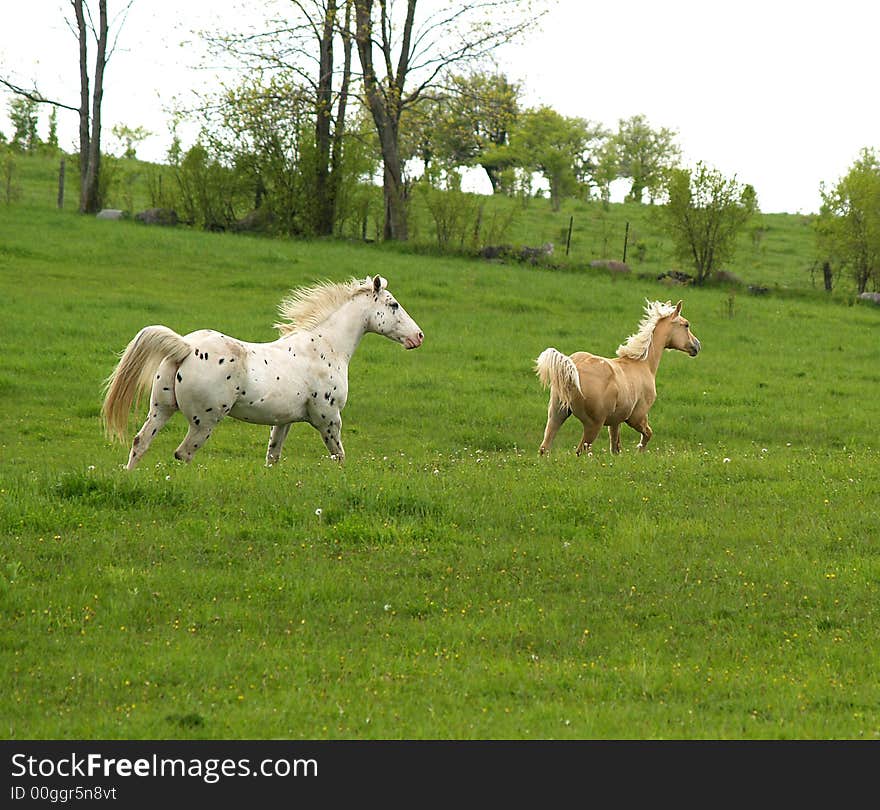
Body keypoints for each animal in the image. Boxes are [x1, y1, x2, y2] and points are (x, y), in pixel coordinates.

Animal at [101, 276, 424, 470]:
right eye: (394, 305)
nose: (418, 336)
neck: (325, 347)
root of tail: (186, 347)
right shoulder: (329, 418)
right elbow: (338, 457)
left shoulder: (284, 421)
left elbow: (273, 456)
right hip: (204, 422)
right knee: (183, 453)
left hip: (161, 410)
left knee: (140, 443)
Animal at [536, 300, 700, 458]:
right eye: (686, 325)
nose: (697, 346)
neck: (642, 364)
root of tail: (573, 368)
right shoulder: (637, 417)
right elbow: (648, 434)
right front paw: (639, 453)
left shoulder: (615, 421)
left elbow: (615, 447)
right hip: (593, 425)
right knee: (580, 451)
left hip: (557, 415)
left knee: (544, 448)